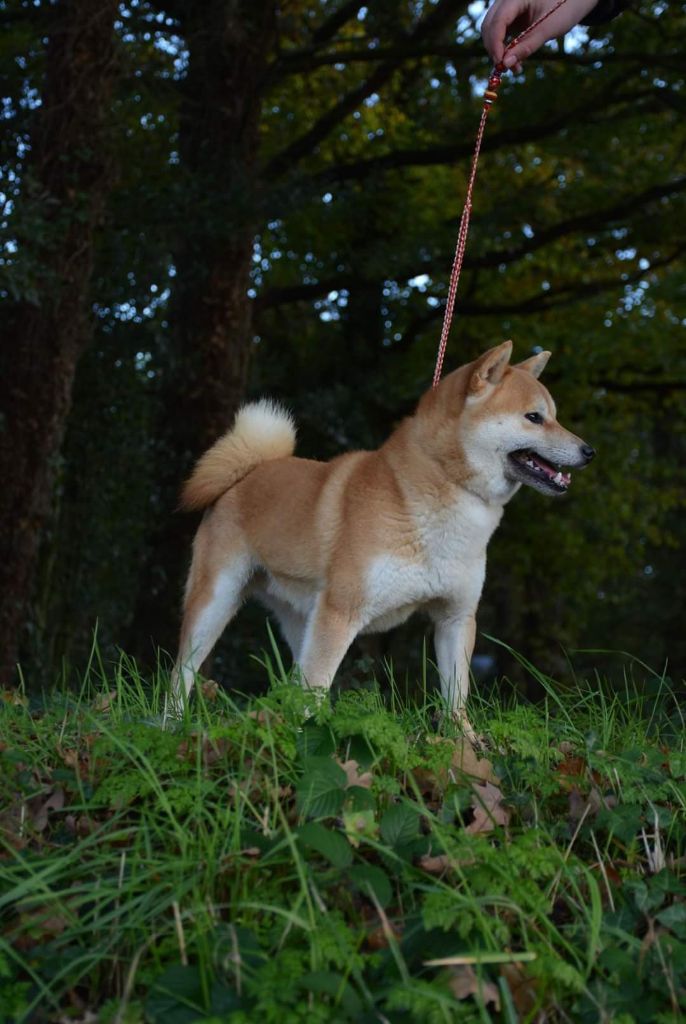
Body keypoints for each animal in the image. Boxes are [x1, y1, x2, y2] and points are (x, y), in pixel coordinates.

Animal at [172, 340, 595, 717]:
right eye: (534, 417)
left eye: (554, 415)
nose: (589, 451)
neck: (443, 493)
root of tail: (249, 472)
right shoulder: (340, 614)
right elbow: (316, 691)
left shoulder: (455, 618)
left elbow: (455, 701)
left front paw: (463, 748)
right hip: (216, 604)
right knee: (180, 676)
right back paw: (171, 726)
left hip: (301, 619)